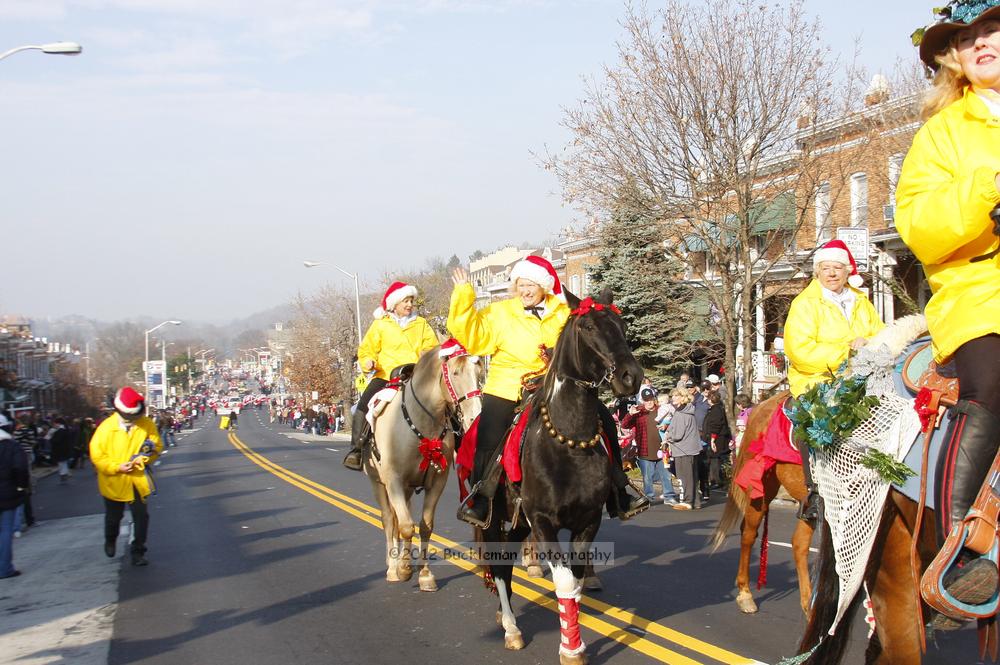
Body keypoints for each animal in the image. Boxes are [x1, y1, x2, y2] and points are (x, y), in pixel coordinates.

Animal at [366, 344, 482, 588]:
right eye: (455, 373)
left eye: (479, 374)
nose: (474, 417)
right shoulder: (394, 481)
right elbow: (406, 526)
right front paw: (403, 569)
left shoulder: (436, 483)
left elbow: (424, 525)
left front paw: (425, 574)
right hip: (377, 482)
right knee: (389, 520)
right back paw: (392, 567)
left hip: (407, 489)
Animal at [474, 286, 640, 664]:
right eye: (589, 327)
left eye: (622, 325)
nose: (631, 377)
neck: (569, 441)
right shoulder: (543, 521)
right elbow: (563, 582)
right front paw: (571, 649)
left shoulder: (587, 521)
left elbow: (575, 583)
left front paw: (574, 644)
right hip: (493, 519)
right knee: (499, 567)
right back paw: (511, 628)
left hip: (519, 523)